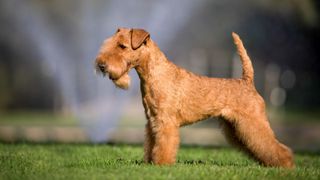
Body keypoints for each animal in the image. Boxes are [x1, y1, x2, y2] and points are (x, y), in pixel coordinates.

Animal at [94, 27, 296, 168]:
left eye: (122, 46)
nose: (102, 65)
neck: (154, 73)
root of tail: (247, 81)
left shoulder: (165, 122)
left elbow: (164, 145)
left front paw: (161, 165)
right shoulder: (152, 121)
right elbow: (151, 144)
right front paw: (150, 162)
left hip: (253, 122)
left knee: (274, 145)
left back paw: (286, 164)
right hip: (237, 127)